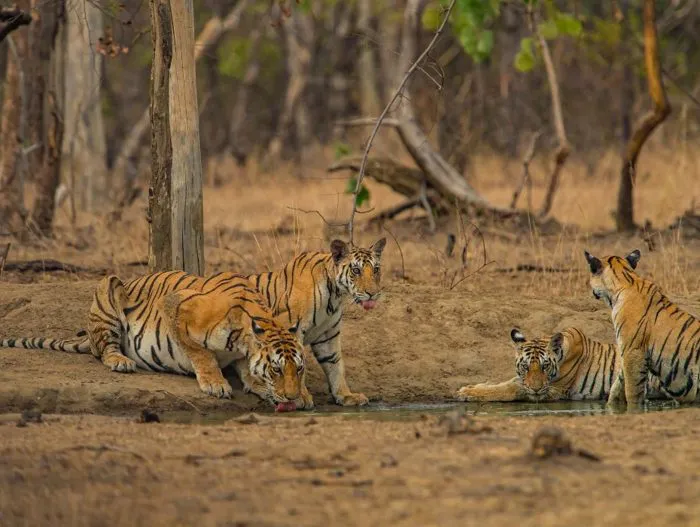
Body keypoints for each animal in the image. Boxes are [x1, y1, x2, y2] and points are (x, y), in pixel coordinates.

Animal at [0, 271, 313, 411]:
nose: (291, 397)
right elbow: (201, 354)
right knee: (105, 350)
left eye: (299, 369)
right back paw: (121, 361)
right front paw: (216, 384)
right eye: (276, 368)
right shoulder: (176, 307)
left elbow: (247, 370)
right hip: (108, 288)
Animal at [247, 237, 386, 406]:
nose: (373, 294)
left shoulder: (328, 334)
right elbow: (294, 363)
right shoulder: (290, 328)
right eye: (356, 270)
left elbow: (335, 364)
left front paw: (346, 395)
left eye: (376, 270)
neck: (335, 295)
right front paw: (301, 397)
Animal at [455, 327, 665, 402]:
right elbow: (507, 382)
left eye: (545, 366)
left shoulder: (552, 389)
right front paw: (473, 386)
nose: (536, 389)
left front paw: (467, 393)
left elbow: (509, 388)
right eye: (525, 367)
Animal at [585, 248, 700, 407]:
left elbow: (632, 390)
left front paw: (633, 408)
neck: (626, 280)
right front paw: (612, 406)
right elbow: (617, 385)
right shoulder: (627, 350)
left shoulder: (633, 350)